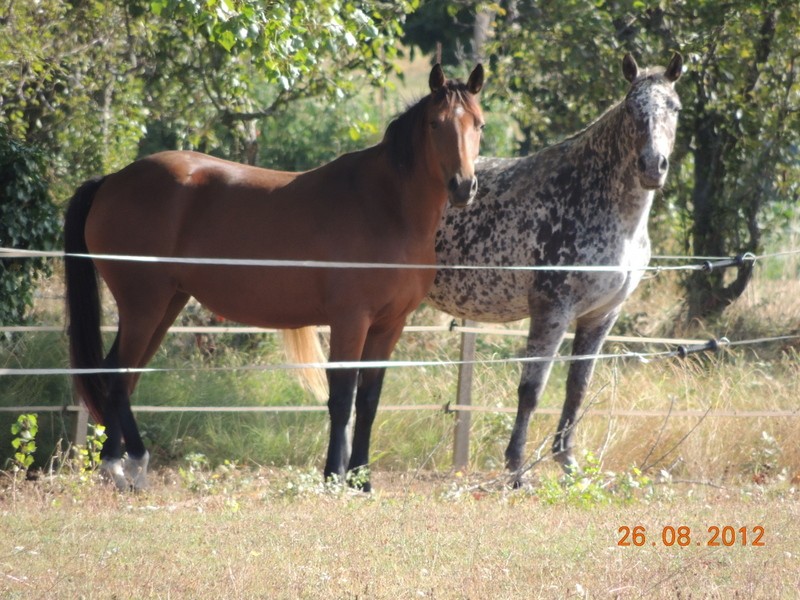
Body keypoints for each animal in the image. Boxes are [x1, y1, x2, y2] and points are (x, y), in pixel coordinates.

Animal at [62, 63, 484, 490]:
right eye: (435, 123)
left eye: (478, 124)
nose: (463, 187)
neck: (386, 207)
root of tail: (112, 180)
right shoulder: (350, 320)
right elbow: (342, 398)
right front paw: (334, 475)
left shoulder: (389, 325)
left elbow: (368, 400)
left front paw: (362, 480)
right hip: (143, 305)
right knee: (116, 374)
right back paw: (127, 462)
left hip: (166, 304)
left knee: (122, 376)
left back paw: (118, 466)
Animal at [428, 51, 684, 482]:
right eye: (632, 108)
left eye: (675, 108)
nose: (653, 166)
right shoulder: (552, 310)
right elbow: (532, 389)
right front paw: (517, 469)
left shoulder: (602, 315)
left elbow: (577, 387)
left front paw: (568, 462)